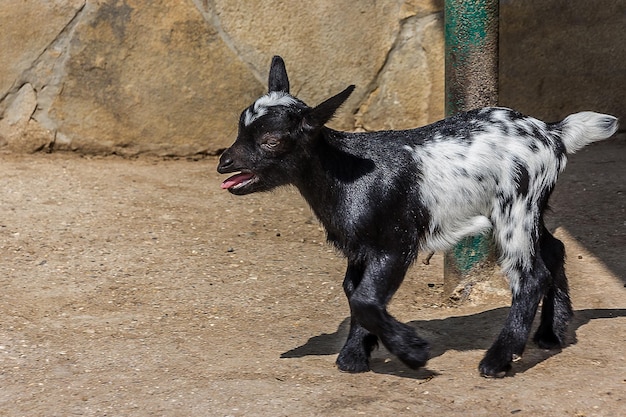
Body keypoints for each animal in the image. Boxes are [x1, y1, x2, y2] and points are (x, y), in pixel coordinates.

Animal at [217, 56, 616, 376]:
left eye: (271, 141)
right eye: (239, 127)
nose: (224, 163)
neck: (346, 173)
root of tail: (553, 133)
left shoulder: (395, 242)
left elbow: (365, 298)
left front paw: (413, 352)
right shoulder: (360, 248)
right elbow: (355, 292)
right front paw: (354, 356)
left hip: (515, 209)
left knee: (531, 276)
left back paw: (497, 360)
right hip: (529, 211)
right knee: (553, 250)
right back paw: (551, 333)